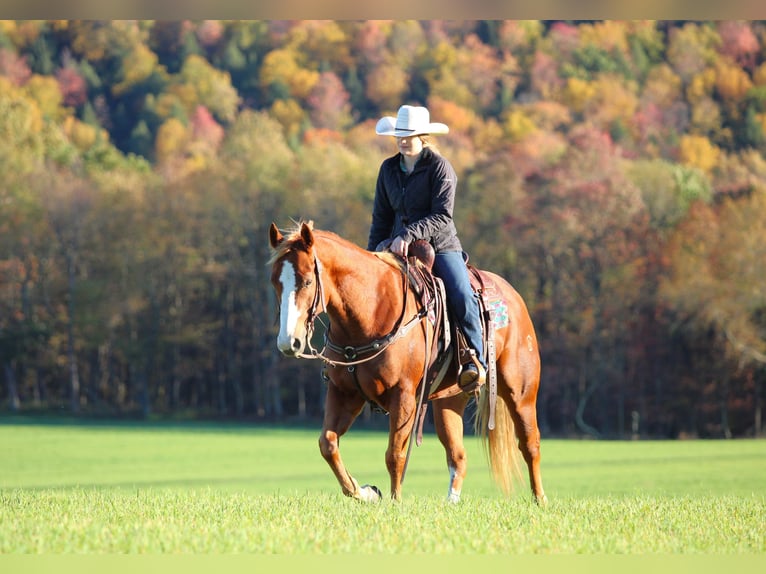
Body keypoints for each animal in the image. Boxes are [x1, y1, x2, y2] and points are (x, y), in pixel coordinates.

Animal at [268, 220, 546, 505]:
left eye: (307, 281)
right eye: (275, 283)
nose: (289, 342)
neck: (372, 311)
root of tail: (513, 297)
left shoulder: (403, 395)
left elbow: (395, 454)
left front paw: (395, 502)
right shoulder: (344, 392)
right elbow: (328, 443)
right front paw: (365, 492)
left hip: (520, 393)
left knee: (530, 444)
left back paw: (540, 500)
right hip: (449, 400)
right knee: (457, 455)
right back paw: (451, 502)